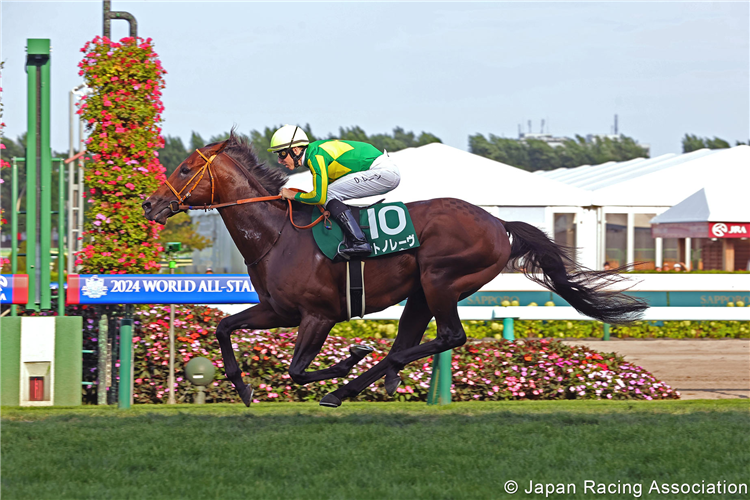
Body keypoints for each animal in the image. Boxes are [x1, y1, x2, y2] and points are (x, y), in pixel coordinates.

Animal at [144, 133, 648, 406]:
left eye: (185, 167)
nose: (150, 203)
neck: (279, 235)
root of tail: (497, 222)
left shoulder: (318, 315)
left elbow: (298, 370)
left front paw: (345, 359)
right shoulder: (277, 311)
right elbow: (224, 327)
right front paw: (242, 387)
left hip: (442, 280)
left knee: (447, 337)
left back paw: (353, 380)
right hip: (423, 290)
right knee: (410, 342)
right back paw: (367, 382)